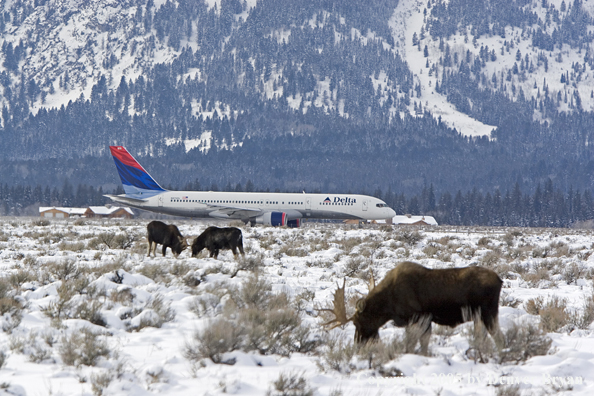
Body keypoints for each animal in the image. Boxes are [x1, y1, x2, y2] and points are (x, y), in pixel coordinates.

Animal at [322, 262, 502, 354]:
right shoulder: (423, 320)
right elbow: (422, 344)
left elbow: (412, 344)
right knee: (482, 337)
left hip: (488, 313)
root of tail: (500, 280)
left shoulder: (418, 317)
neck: (388, 305)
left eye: (357, 322)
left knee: (498, 336)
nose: (357, 343)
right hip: (480, 316)